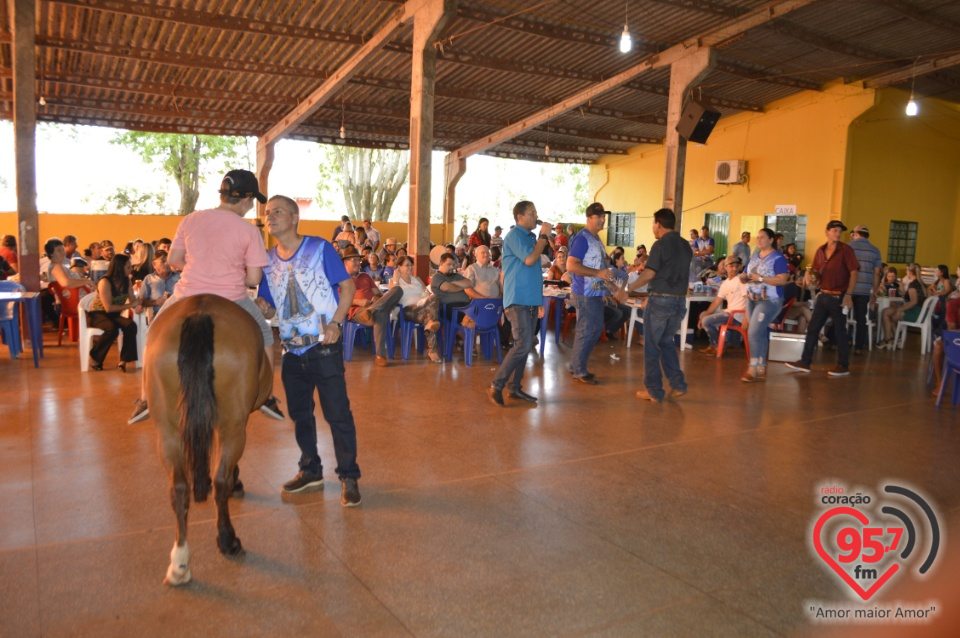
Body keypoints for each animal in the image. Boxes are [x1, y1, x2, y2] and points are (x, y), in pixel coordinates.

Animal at [146, 294, 274, 584]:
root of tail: (199, 314)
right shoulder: (235, 421)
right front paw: (236, 482)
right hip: (233, 425)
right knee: (220, 480)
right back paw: (228, 540)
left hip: (168, 430)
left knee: (179, 488)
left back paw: (180, 562)